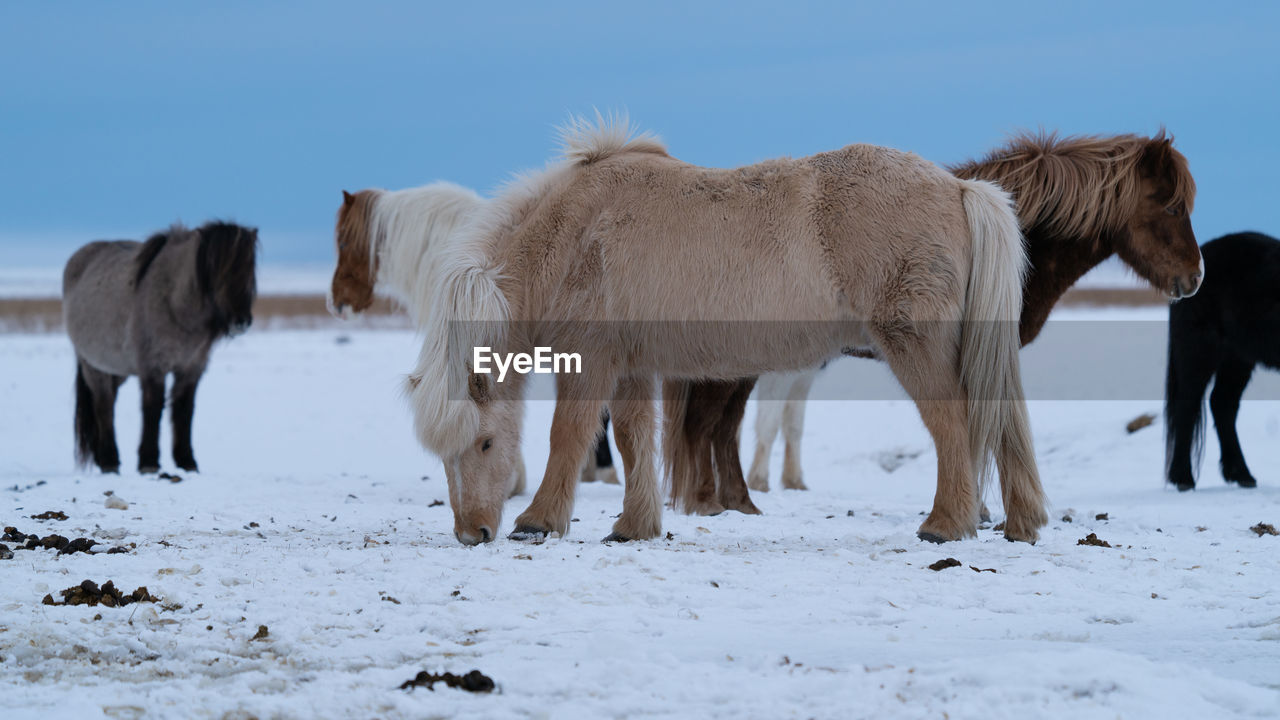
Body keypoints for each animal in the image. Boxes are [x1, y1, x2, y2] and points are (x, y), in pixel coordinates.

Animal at [61, 221, 257, 474]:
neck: (175, 305)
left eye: (250, 267)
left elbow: (184, 410)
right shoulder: (153, 368)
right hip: (93, 367)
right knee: (103, 407)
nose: (241, 321)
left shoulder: (190, 369)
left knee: (109, 404)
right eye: (218, 267)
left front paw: (187, 461)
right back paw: (109, 460)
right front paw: (149, 462)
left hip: (117, 370)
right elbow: (152, 409)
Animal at [404, 114, 1044, 543]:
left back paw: (945, 525)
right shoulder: (633, 365)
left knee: (953, 423)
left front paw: (537, 521)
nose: (472, 533)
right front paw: (635, 526)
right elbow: (636, 441)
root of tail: (960, 187)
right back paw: (1018, 521)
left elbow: (570, 434)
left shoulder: (591, 360)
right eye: (445, 457)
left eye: (486, 444)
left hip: (916, 344)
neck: (574, 235)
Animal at [665, 128, 1203, 515]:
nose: (1195, 277)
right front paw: (977, 511)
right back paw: (719, 501)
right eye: (1173, 206)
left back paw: (735, 502)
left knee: (724, 426)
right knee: (714, 424)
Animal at [1167, 233, 1274, 489]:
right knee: (1187, 405)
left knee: (1223, 404)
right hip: (1199, 353)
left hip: (1238, 358)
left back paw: (1241, 474)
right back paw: (1183, 478)